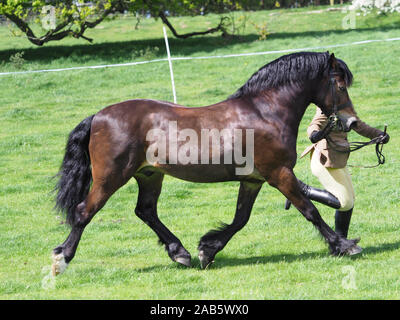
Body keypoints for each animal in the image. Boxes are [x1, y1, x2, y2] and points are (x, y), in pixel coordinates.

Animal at [51, 52, 360, 276]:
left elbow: (240, 219)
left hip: (149, 175)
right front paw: (343, 245)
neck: (265, 112)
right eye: (340, 85)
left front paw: (207, 250)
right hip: (111, 177)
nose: (351, 121)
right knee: (84, 212)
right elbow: (310, 210)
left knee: (146, 210)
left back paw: (180, 253)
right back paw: (61, 259)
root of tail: (98, 116)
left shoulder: (253, 179)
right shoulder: (279, 174)